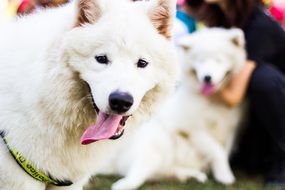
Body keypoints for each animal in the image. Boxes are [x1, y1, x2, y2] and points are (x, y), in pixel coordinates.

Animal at [100, 28, 246, 190]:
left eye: (218, 60)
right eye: (200, 61)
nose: (207, 77)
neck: (214, 100)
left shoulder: (232, 128)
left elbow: (224, 151)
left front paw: (222, 172)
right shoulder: (193, 129)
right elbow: (217, 150)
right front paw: (225, 176)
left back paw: (193, 175)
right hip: (153, 148)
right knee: (137, 172)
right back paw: (124, 184)